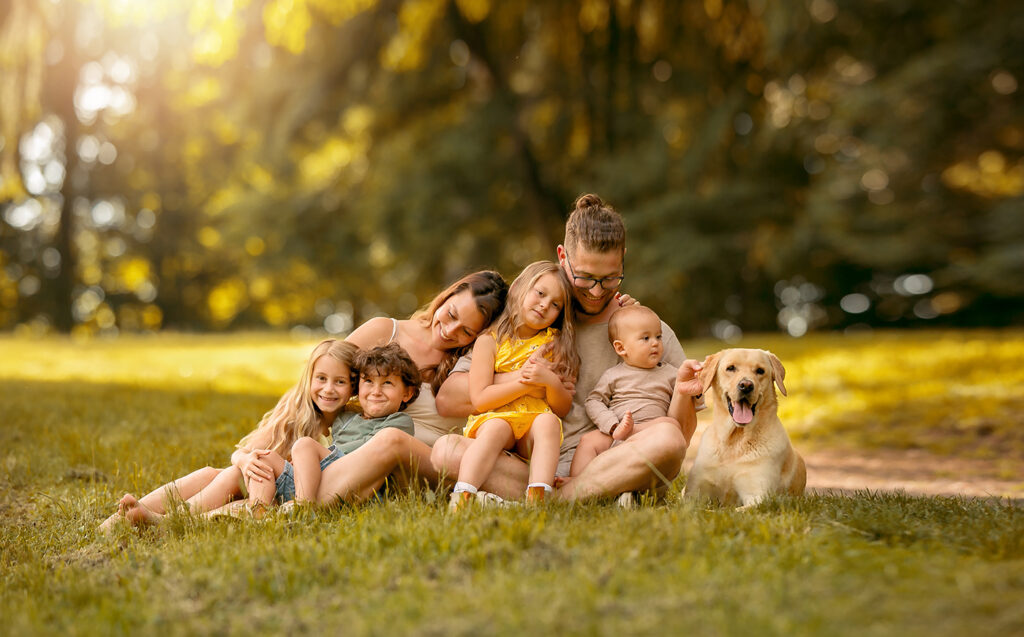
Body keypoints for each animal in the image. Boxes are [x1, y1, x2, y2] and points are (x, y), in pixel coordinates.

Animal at [684, 350, 802, 510]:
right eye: (731, 368)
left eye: (760, 371)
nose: (746, 385)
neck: (734, 440)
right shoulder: (692, 493)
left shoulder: (759, 497)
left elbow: (727, 511)